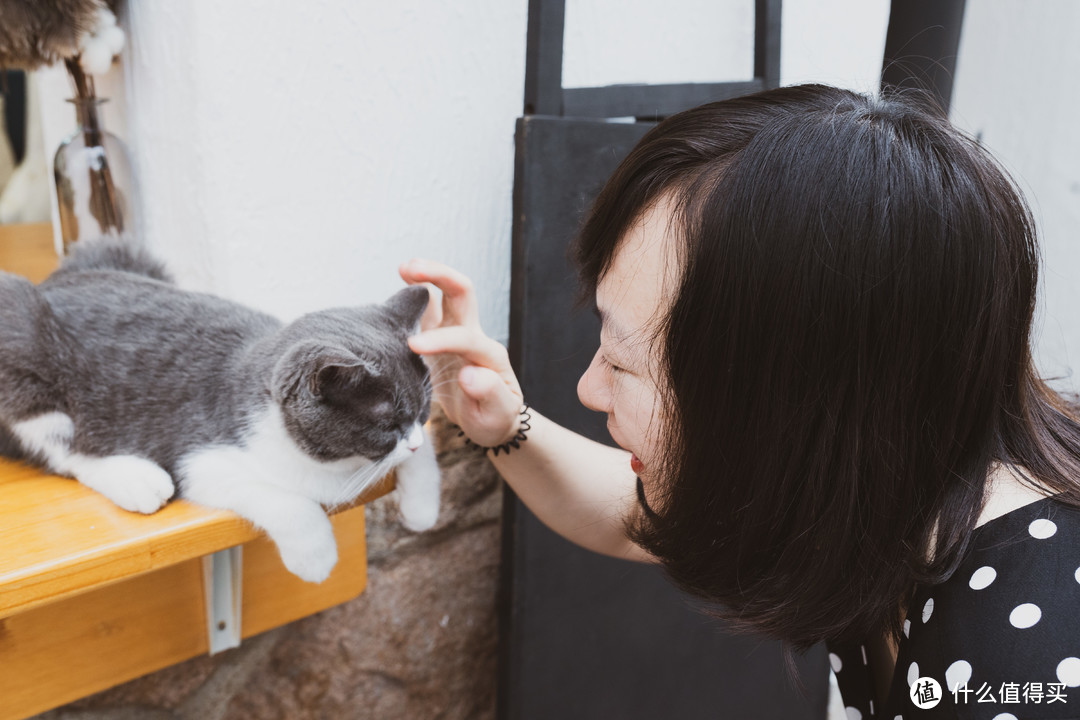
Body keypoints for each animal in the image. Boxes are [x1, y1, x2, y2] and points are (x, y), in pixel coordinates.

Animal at [0, 241, 440, 587]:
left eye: (423, 409)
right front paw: (316, 558)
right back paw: (136, 480)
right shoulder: (201, 458)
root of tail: (48, 285)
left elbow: (426, 453)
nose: (413, 442)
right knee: (61, 449)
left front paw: (422, 509)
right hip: (22, 345)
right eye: (385, 425)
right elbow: (284, 502)